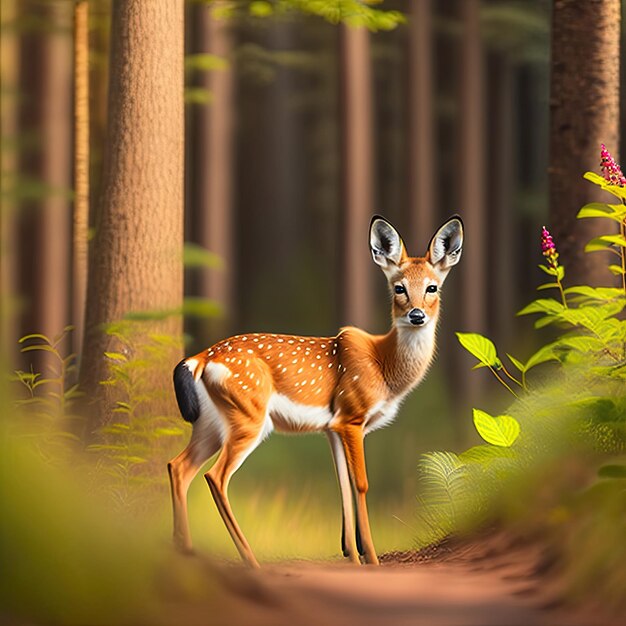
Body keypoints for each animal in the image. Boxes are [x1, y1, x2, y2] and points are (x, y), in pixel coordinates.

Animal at [168, 214, 460, 564]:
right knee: (215, 476)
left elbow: (343, 485)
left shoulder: (332, 427)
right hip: (249, 416)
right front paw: (373, 560)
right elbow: (361, 484)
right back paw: (250, 558)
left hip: (212, 422)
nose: (417, 315)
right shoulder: (351, 417)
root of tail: (199, 358)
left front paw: (352, 555)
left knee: (178, 466)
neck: (384, 367)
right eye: (398, 287)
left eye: (433, 287)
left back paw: (185, 550)